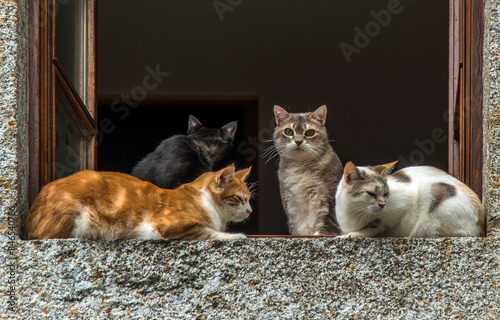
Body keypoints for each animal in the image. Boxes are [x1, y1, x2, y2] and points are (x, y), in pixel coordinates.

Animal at [23, 165, 252, 240]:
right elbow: (208, 232)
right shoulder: (170, 227)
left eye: (249, 199)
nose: (250, 211)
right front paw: (236, 236)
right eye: (239, 198)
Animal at [274, 105, 344, 235]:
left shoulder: (330, 199)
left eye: (310, 132)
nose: (298, 141)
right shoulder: (290, 203)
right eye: (288, 131)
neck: (301, 168)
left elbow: (328, 223)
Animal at [336, 162, 484, 238]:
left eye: (386, 193)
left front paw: (353, 234)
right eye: (371, 193)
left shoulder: (403, 204)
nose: (383, 204)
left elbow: (378, 224)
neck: (352, 211)